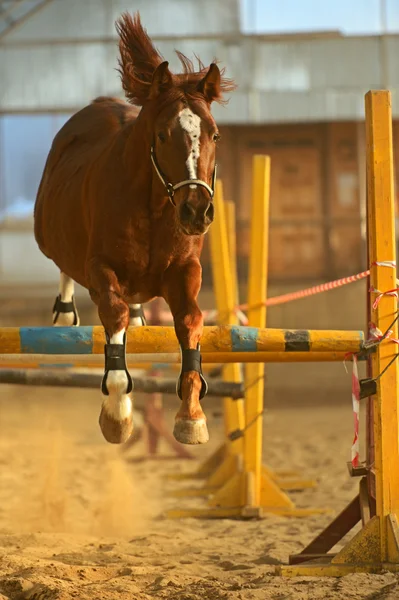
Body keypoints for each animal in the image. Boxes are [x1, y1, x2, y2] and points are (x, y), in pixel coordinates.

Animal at [34, 11, 236, 446]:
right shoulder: (99, 268)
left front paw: (192, 416)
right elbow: (114, 313)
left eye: (214, 133)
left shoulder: (185, 270)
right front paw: (117, 411)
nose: (197, 212)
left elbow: (191, 321)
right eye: (162, 134)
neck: (156, 208)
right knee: (64, 265)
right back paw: (64, 316)